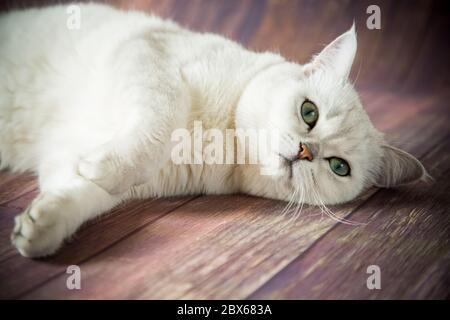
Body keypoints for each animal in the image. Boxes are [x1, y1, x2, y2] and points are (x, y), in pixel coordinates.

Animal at [0, 3, 428, 258]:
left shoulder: (83, 161)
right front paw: (107, 165)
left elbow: (83, 191)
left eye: (339, 167)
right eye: (309, 113)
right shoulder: (149, 53)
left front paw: (43, 226)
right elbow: (158, 121)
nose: (305, 151)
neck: (226, 138)